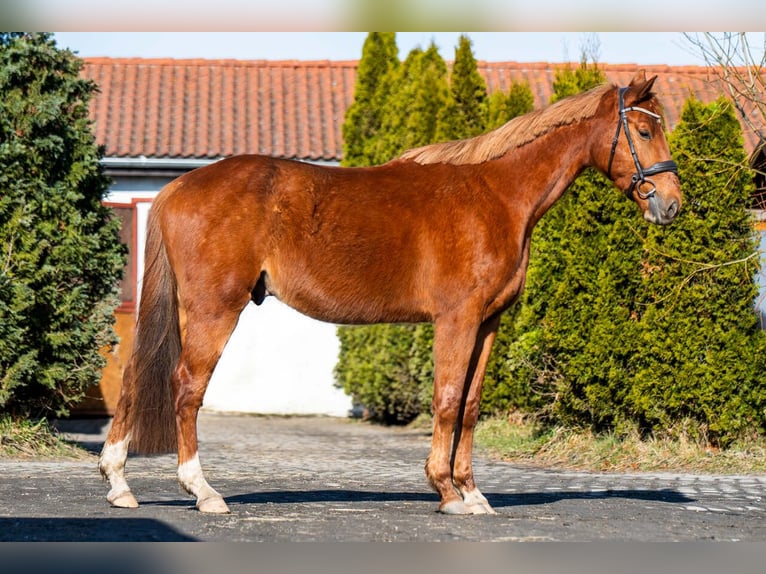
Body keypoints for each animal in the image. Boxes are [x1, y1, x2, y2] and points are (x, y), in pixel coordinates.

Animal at [99, 72, 680, 516]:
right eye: (644, 130)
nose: (671, 204)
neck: (495, 196)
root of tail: (179, 186)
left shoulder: (488, 322)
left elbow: (470, 404)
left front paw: (473, 492)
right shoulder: (456, 319)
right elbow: (447, 399)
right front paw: (447, 492)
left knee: (136, 377)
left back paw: (119, 483)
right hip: (214, 309)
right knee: (186, 389)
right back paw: (203, 492)